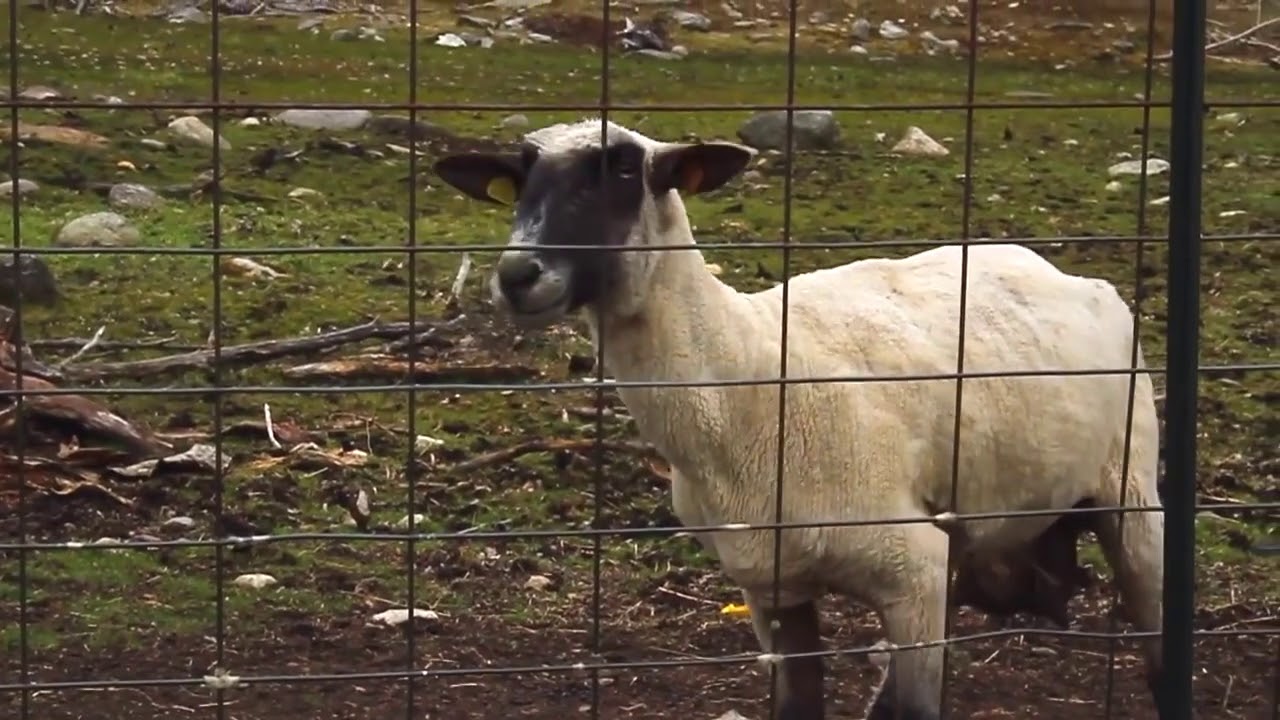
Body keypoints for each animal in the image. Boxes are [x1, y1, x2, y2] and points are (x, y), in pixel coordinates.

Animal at [433, 118, 1166, 720]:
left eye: (619, 171)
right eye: (519, 177)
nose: (517, 275)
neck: (746, 383)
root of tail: (1063, 271)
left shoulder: (911, 567)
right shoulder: (773, 590)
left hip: (1130, 489)